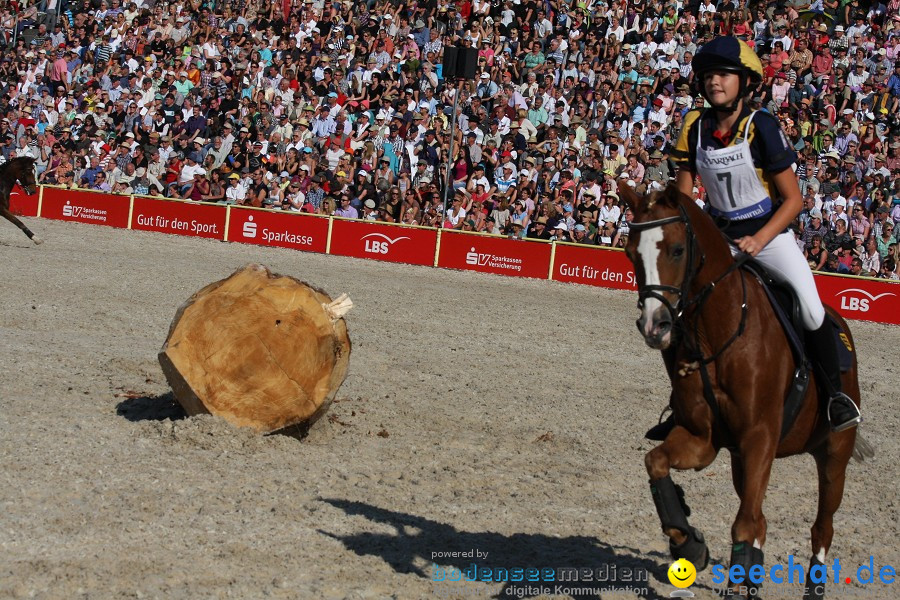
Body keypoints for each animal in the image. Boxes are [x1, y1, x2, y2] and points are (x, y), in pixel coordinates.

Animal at [620, 183, 872, 600]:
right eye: (630, 252)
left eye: (677, 249)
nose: (654, 326)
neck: (719, 334)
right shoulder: (704, 439)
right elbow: (656, 462)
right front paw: (689, 542)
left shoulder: (759, 438)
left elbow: (743, 524)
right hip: (742, 458)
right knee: (762, 521)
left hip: (834, 453)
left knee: (821, 527)